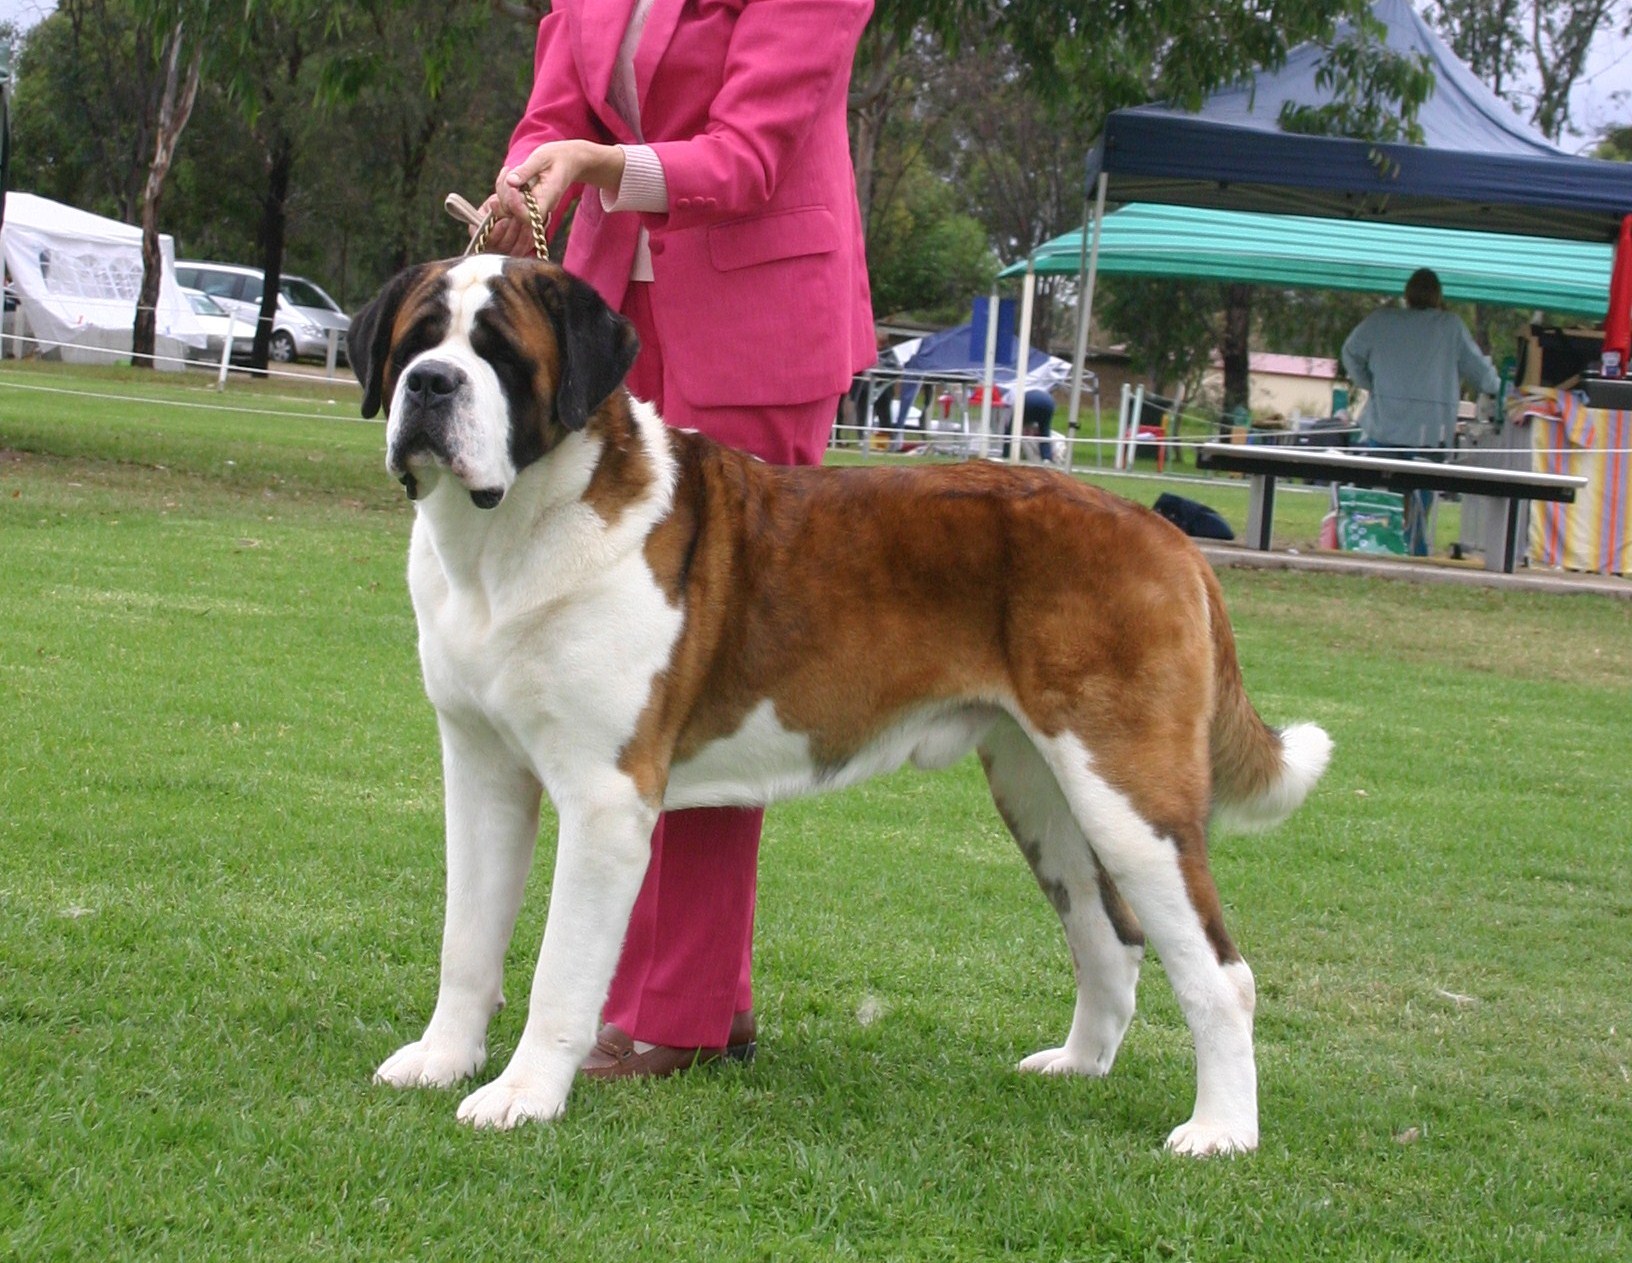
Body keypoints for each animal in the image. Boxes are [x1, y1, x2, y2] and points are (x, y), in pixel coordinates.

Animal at [344, 254, 1325, 1155]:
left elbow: (560, 966)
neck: (507, 537)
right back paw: (1077, 1066)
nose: (430, 384)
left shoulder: (605, 798)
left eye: (502, 355)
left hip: (1127, 790)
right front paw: (443, 1059)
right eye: (415, 342)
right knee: (1107, 937)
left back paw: (1221, 1131)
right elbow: (467, 936)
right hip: (1041, 785)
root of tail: (1164, 534)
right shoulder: (481, 771)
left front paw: (523, 1096)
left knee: (1220, 973)